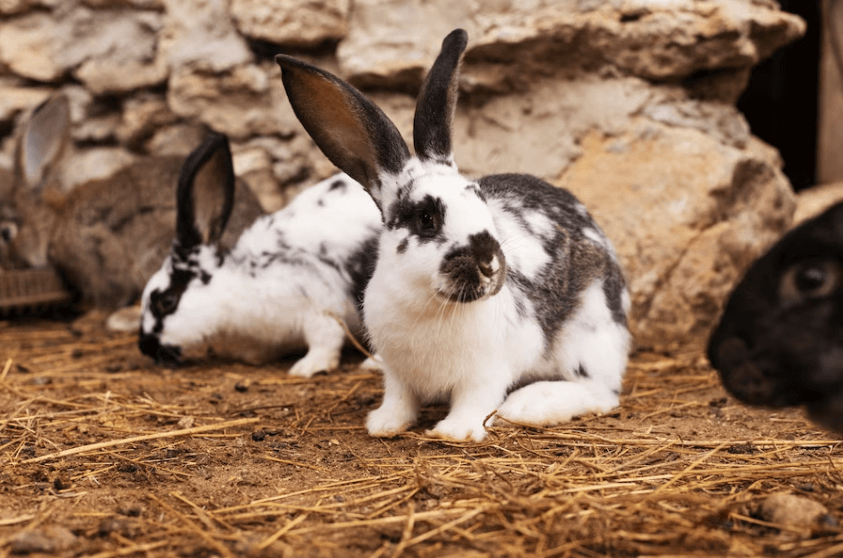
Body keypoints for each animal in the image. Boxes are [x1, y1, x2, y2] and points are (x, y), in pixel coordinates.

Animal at [275, 28, 631, 441]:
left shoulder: (487, 371)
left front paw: (454, 432)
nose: (490, 264)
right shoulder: (398, 374)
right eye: (426, 218)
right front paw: (384, 425)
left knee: (601, 392)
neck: (428, 303)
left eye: (480, 200)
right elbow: (399, 399)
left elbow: (475, 401)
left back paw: (527, 406)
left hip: (589, 334)